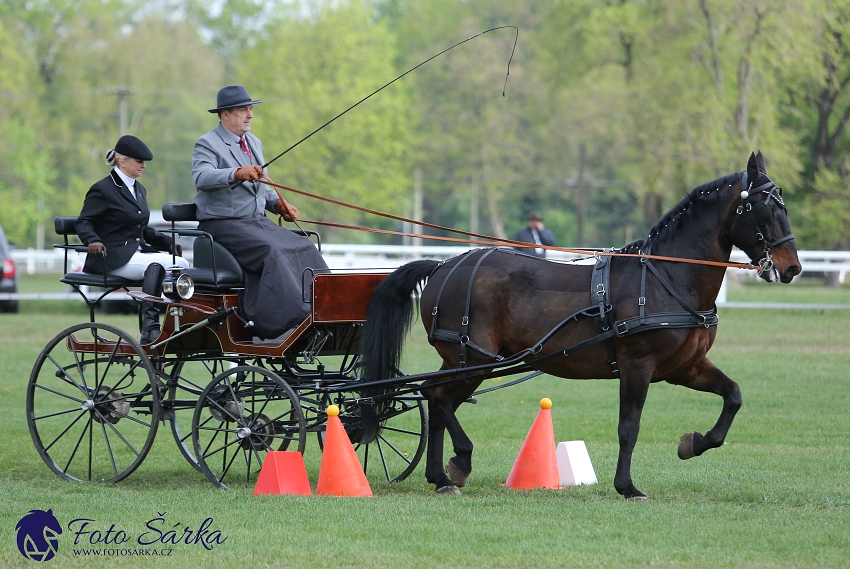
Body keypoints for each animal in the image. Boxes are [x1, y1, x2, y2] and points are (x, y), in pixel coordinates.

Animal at [362, 153, 800, 500]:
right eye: (764, 209)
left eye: (785, 208)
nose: (792, 267)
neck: (667, 277)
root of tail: (442, 265)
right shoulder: (637, 366)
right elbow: (628, 427)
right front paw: (627, 486)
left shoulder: (684, 368)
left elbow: (733, 396)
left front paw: (694, 443)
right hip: (472, 360)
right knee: (435, 396)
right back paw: (458, 463)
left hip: (468, 363)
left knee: (436, 400)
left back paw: (441, 475)